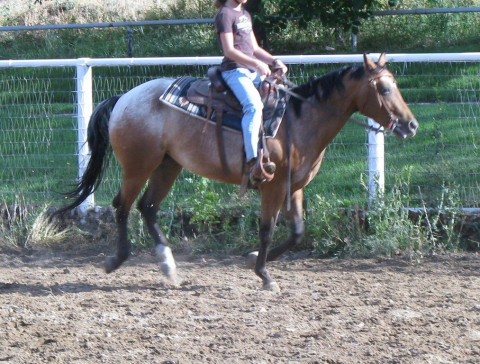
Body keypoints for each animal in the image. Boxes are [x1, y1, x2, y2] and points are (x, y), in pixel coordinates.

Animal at [55, 54, 416, 292]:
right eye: (384, 89)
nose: (411, 125)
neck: (298, 120)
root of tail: (123, 99)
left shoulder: (294, 187)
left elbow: (298, 232)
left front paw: (253, 258)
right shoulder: (272, 187)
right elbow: (267, 229)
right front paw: (264, 274)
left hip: (168, 165)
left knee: (148, 207)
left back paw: (168, 266)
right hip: (139, 165)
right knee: (123, 206)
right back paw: (116, 259)